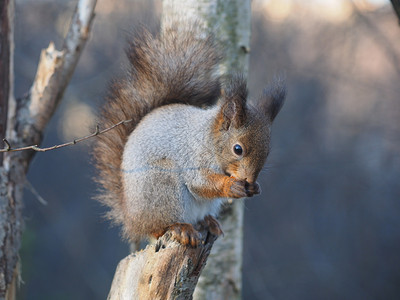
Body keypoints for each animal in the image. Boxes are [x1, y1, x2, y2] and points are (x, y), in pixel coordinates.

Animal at [94, 23, 286, 247]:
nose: (249, 179)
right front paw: (231, 186)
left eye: (268, 150)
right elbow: (200, 182)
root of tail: (131, 218)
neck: (208, 139)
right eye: (238, 149)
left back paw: (208, 222)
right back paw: (180, 227)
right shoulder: (192, 157)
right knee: (158, 227)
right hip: (162, 186)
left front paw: (255, 187)